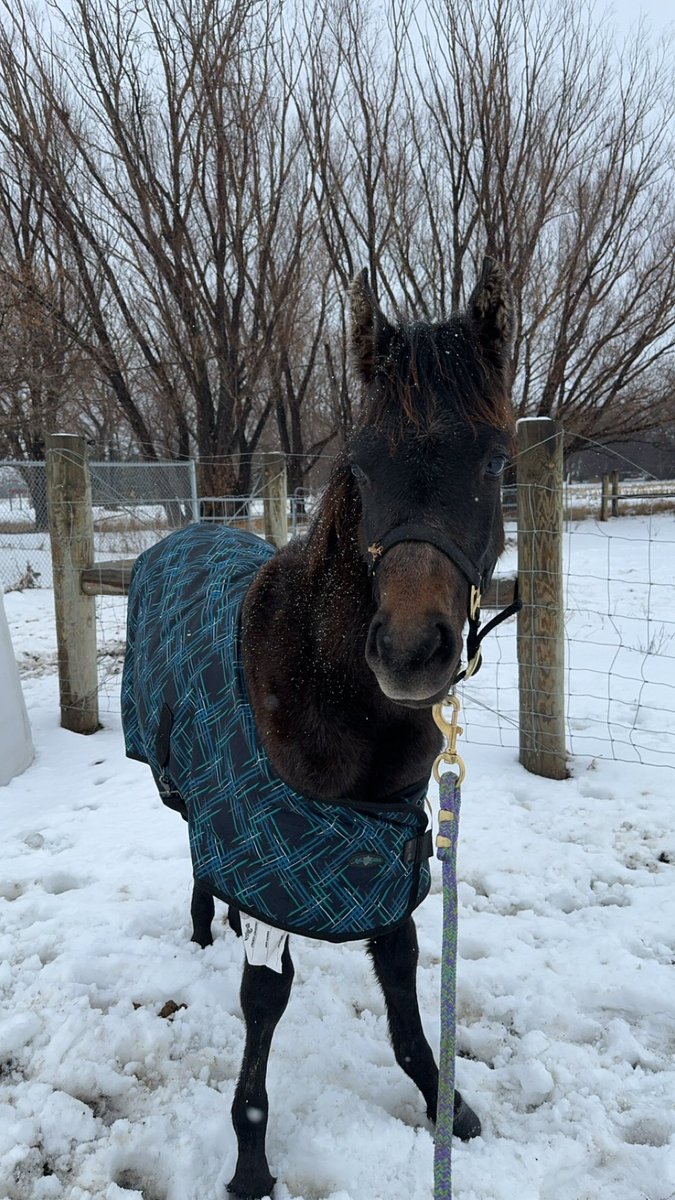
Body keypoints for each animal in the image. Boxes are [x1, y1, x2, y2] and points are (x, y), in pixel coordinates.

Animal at [122, 256, 515, 1199]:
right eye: (362, 466)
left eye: (494, 459)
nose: (409, 650)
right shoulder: (274, 851)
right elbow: (264, 1006)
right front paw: (250, 1165)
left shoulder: (385, 861)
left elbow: (406, 997)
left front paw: (446, 1106)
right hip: (183, 784)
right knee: (195, 851)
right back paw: (205, 928)